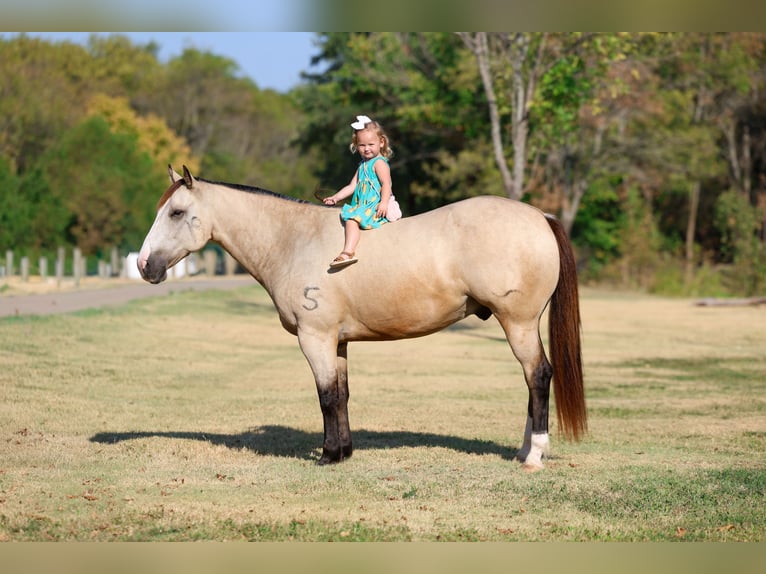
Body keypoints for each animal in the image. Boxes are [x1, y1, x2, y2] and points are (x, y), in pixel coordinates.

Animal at [137, 165, 586, 470]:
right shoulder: (337, 341)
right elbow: (342, 394)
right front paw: (344, 451)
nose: (144, 266)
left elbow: (326, 397)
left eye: (176, 212)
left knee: (538, 376)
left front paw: (328, 456)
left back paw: (534, 454)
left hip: (519, 324)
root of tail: (540, 216)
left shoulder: (315, 338)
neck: (293, 239)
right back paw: (522, 451)